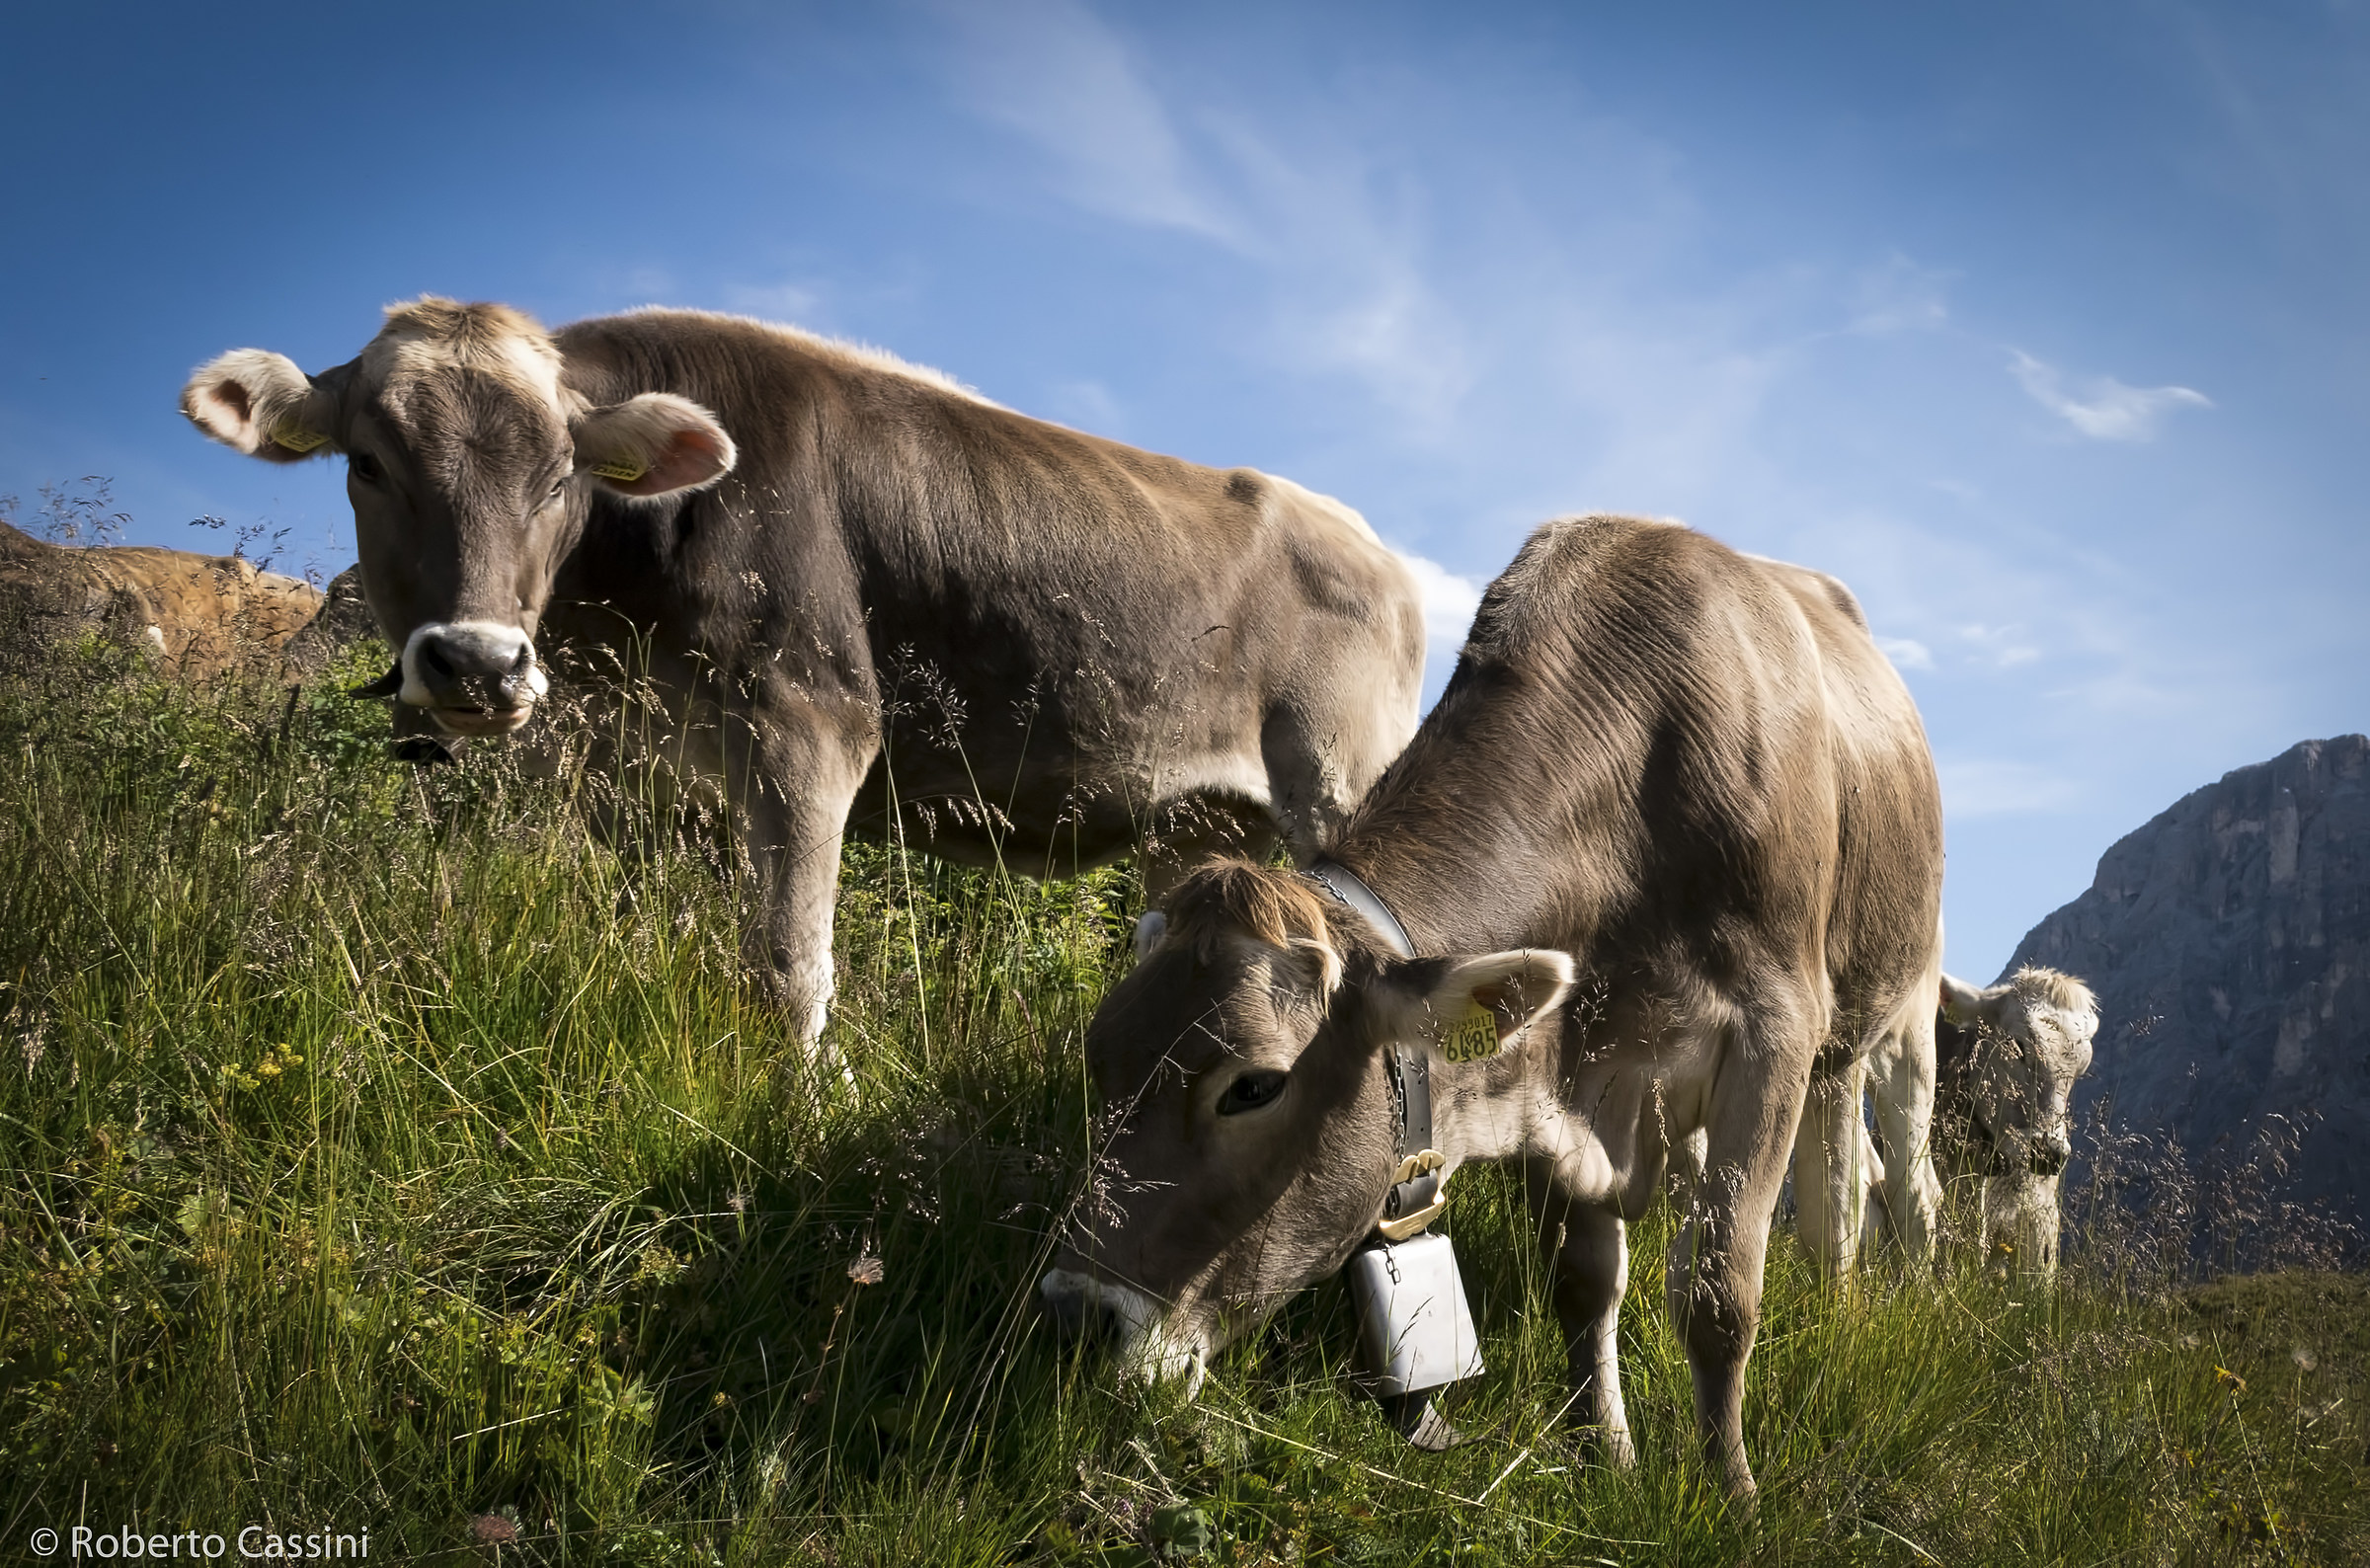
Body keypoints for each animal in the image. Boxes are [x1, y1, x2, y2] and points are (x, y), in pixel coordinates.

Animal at [181, 299, 1424, 1042]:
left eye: (558, 474)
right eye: (368, 463)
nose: (478, 661)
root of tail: (1388, 558)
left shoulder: (807, 723)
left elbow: (788, 970)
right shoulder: (631, 781)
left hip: (1339, 782)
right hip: (1197, 822)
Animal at [1041, 514, 1945, 1499]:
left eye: (1254, 1086)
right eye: (1100, 1057)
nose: (1075, 1319)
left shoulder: (1770, 1033)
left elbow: (1717, 1295)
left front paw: (1730, 1490)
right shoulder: (1560, 1076)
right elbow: (1582, 1284)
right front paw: (1607, 1453)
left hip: (1896, 1021)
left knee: (1870, 1191)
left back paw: (1858, 1304)